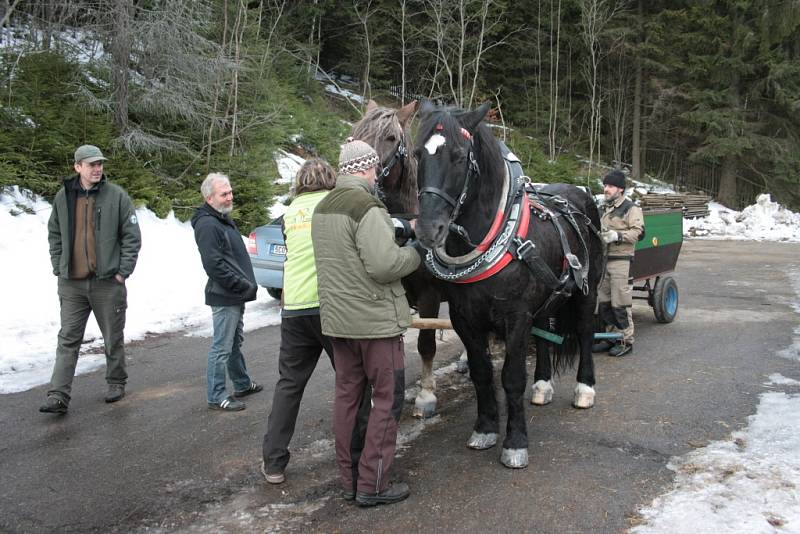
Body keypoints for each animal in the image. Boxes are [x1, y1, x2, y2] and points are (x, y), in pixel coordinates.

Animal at [416, 101, 604, 468]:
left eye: (458, 156)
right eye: (418, 154)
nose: (429, 229)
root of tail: (578, 195)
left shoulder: (515, 316)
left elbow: (512, 377)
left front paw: (515, 442)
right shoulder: (464, 318)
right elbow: (481, 372)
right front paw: (486, 429)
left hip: (586, 293)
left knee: (586, 333)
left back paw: (585, 390)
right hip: (546, 300)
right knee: (544, 337)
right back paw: (543, 387)